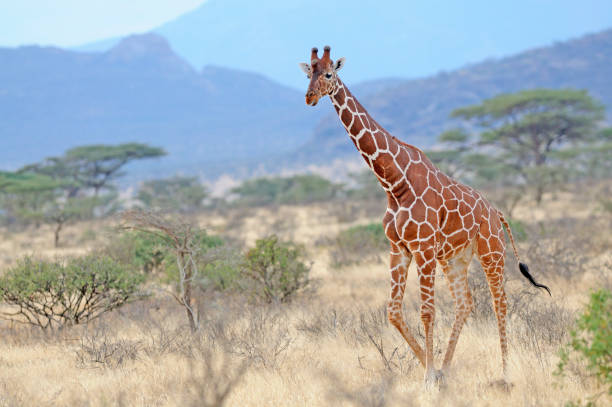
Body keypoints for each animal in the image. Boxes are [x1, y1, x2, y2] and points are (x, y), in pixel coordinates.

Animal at [298, 46, 552, 388]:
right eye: (307, 73)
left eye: (328, 73)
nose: (310, 97)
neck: (394, 182)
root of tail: (497, 212)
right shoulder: (399, 249)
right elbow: (393, 311)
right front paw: (432, 370)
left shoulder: (424, 248)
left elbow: (427, 312)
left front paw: (429, 377)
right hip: (455, 258)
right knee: (465, 303)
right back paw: (448, 367)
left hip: (491, 252)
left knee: (500, 302)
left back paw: (505, 373)